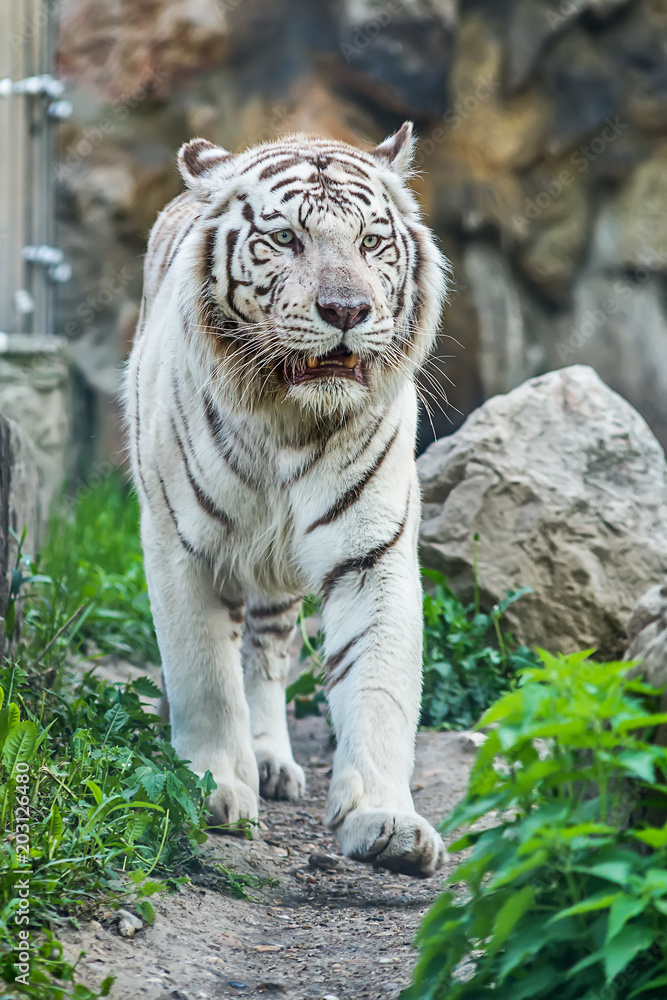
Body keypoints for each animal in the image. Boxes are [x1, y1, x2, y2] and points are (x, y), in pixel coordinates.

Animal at [125, 121, 449, 877]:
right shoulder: (181, 546)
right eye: (286, 239)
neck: (291, 420)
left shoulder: (373, 550)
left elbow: (379, 683)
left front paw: (385, 822)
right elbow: (204, 675)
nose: (347, 310)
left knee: (266, 652)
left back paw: (272, 758)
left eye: (371, 242)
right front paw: (213, 788)